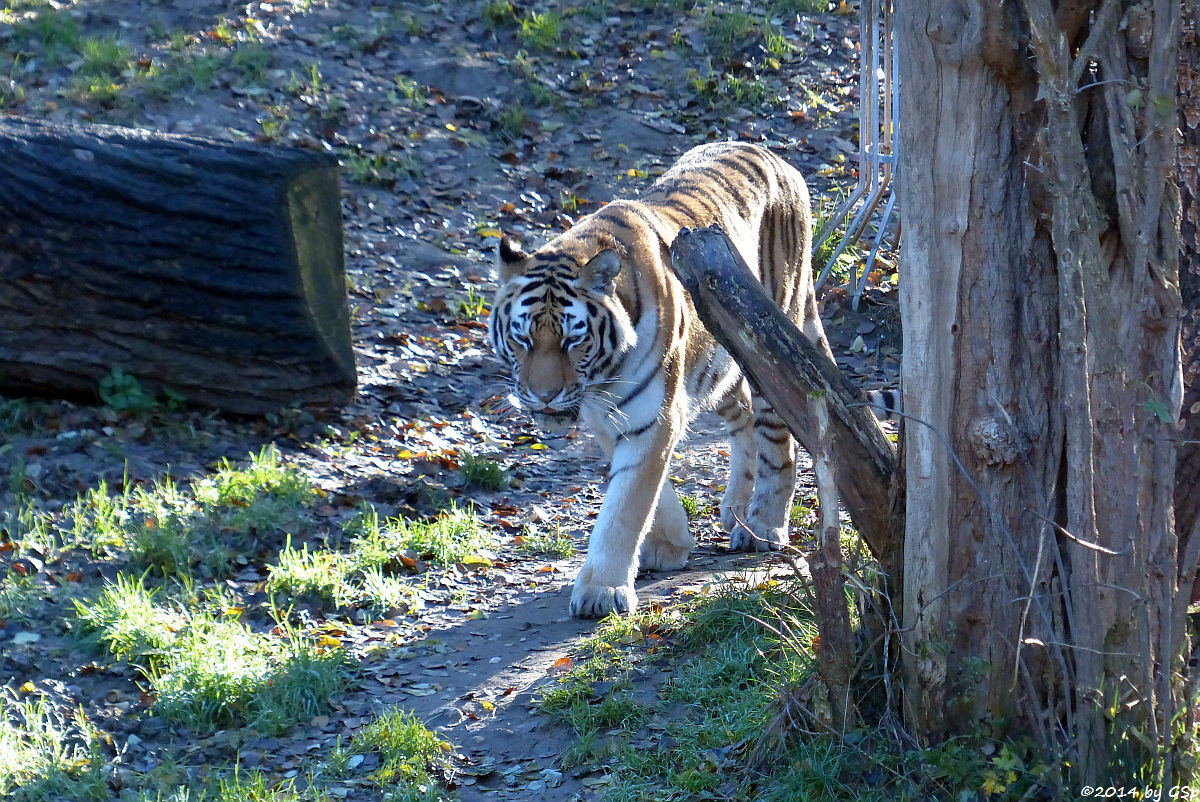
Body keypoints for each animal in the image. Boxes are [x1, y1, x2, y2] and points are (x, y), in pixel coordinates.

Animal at [487, 141, 835, 619]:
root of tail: (777, 157)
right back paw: (736, 506)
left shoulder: (654, 414)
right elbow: (650, 489)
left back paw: (763, 525)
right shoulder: (612, 417)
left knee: (777, 440)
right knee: (744, 417)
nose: (544, 396)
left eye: (572, 340)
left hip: (770, 335)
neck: (602, 377)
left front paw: (602, 590)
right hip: (723, 364)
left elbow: (626, 504)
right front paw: (670, 545)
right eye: (522, 338)